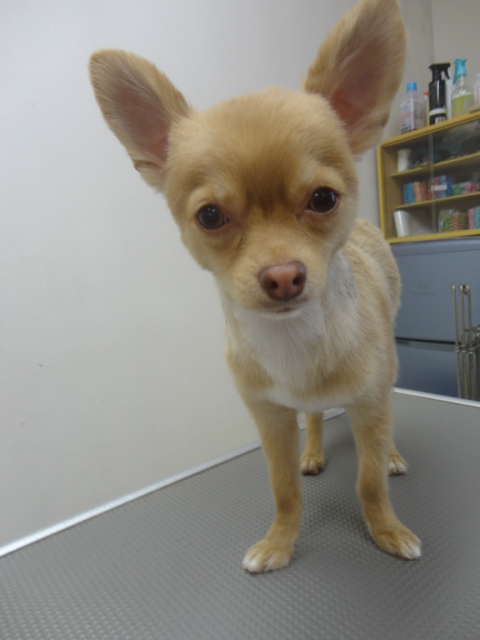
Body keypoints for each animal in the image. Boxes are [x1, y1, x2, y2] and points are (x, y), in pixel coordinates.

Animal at [89, 0, 420, 573]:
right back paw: (312, 452)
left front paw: (386, 530)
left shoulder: (370, 403)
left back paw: (394, 456)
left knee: (384, 433)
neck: (293, 343)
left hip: (388, 376)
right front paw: (279, 542)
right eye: (210, 215)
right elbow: (283, 490)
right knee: (314, 416)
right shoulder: (268, 417)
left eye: (323, 199)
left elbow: (369, 481)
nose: (283, 275)